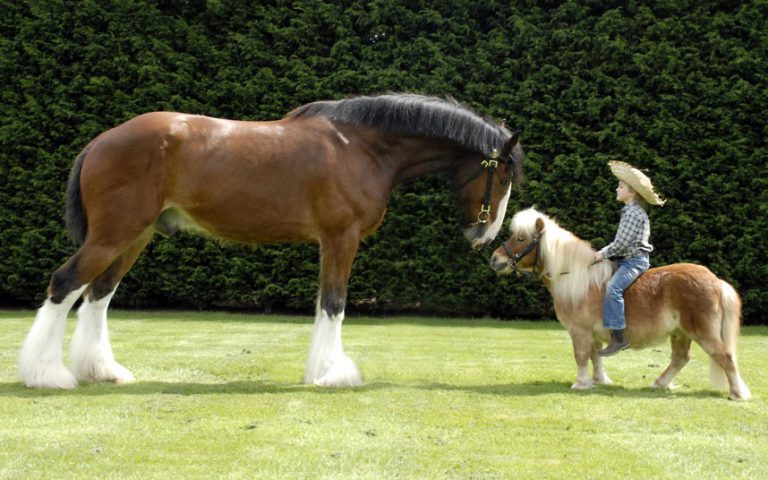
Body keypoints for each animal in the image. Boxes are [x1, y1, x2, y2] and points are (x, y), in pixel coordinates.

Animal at [19, 93, 524, 389]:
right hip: (113, 236)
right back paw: (46, 374)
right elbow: (334, 302)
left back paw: (101, 370)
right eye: (501, 178)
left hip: (133, 237)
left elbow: (325, 303)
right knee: (65, 284)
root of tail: (104, 139)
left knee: (98, 295)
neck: (364, 146)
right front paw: (332, 373)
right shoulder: (340, 239)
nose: (484, 236)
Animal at [489, 208, 751, 400]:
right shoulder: (593, 333)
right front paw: (599, 381)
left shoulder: (579, 331)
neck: (575, 277)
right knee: (680, 358)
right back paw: (660, 383)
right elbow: (595, 356)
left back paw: (738, 393)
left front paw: (580, 383)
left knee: (725, 356)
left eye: (521, 238)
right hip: (680, 332)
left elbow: (581, 356)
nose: (494, 259)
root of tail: (716, 281)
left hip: (702, 332)